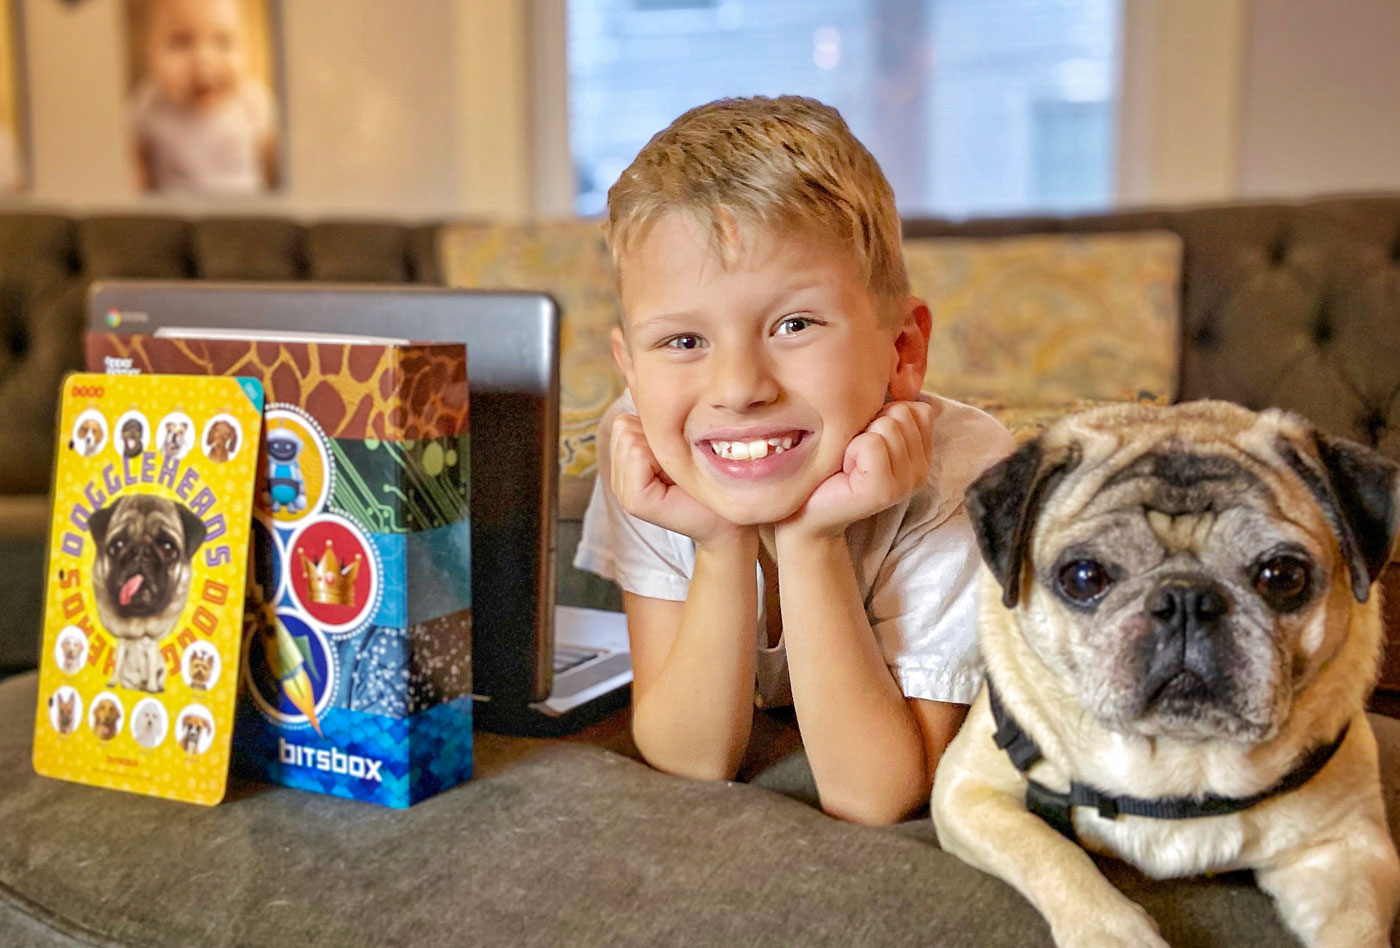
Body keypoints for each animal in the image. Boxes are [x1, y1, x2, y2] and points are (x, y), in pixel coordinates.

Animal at [87, 492, 205, 691]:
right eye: (118, 544)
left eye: (167, 547)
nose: (141, 551)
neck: (137, 630)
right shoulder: (123, 648)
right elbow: (117, 666)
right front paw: (112, 682)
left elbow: (150, 669)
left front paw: (152, 688)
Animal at [935, 400, 1400, 946]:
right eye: (1083, 577)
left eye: (1283, 576)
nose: (1186, 598)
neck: (1181, 760)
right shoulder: (966, 795)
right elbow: (1052, 854)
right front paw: (1114, 932)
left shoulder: (1347, 848)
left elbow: (1354, 931)